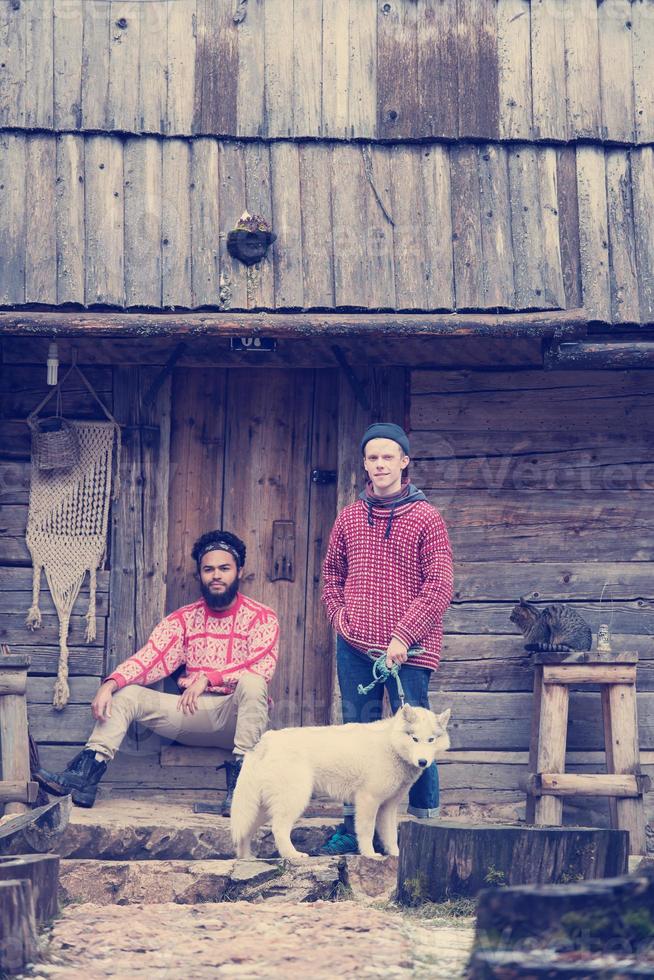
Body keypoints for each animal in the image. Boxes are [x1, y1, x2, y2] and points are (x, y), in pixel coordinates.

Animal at [231, 708, 452, 860]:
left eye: (431, 740)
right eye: (414, 739)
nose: (423, 762)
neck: (391, 744)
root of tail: (266, 740)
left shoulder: (388, 807)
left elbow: (390, 836)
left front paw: (396, 855)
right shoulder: (368, 800)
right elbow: (367, 831)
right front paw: (370, 854)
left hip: (262, 808)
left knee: (245, 831)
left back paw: (246, 858)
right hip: (293, 801)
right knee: (278, 829)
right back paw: (292, 855)